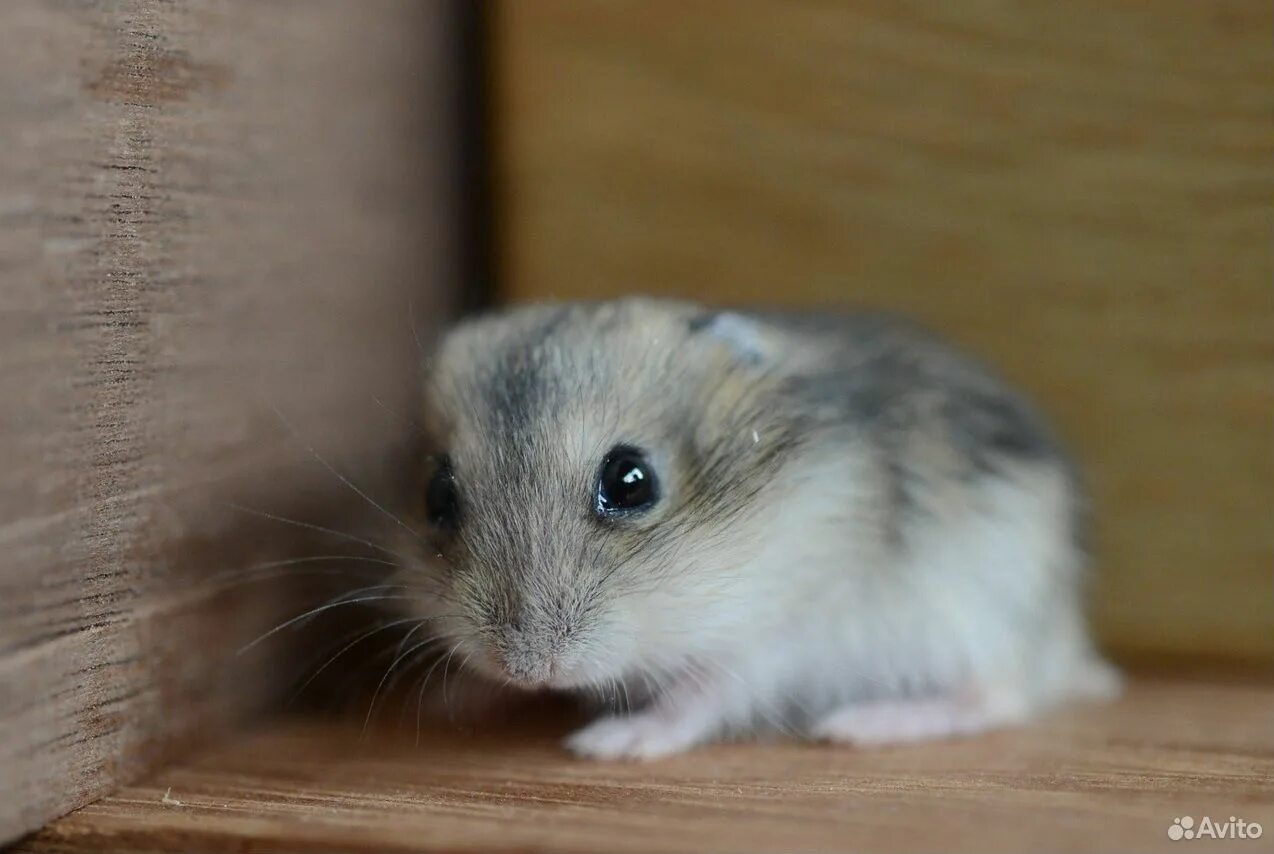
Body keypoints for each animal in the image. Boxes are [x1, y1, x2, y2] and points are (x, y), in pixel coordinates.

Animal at [394, 298, 1116, 759]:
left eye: (631, 481)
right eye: (437, 496)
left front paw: (608, 744)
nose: (530, 669)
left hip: (983, 611)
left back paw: (857, 726)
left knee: (998, 696)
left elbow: (700, 691)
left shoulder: (771, 639)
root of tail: (1070, 643)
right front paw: (451, 701)